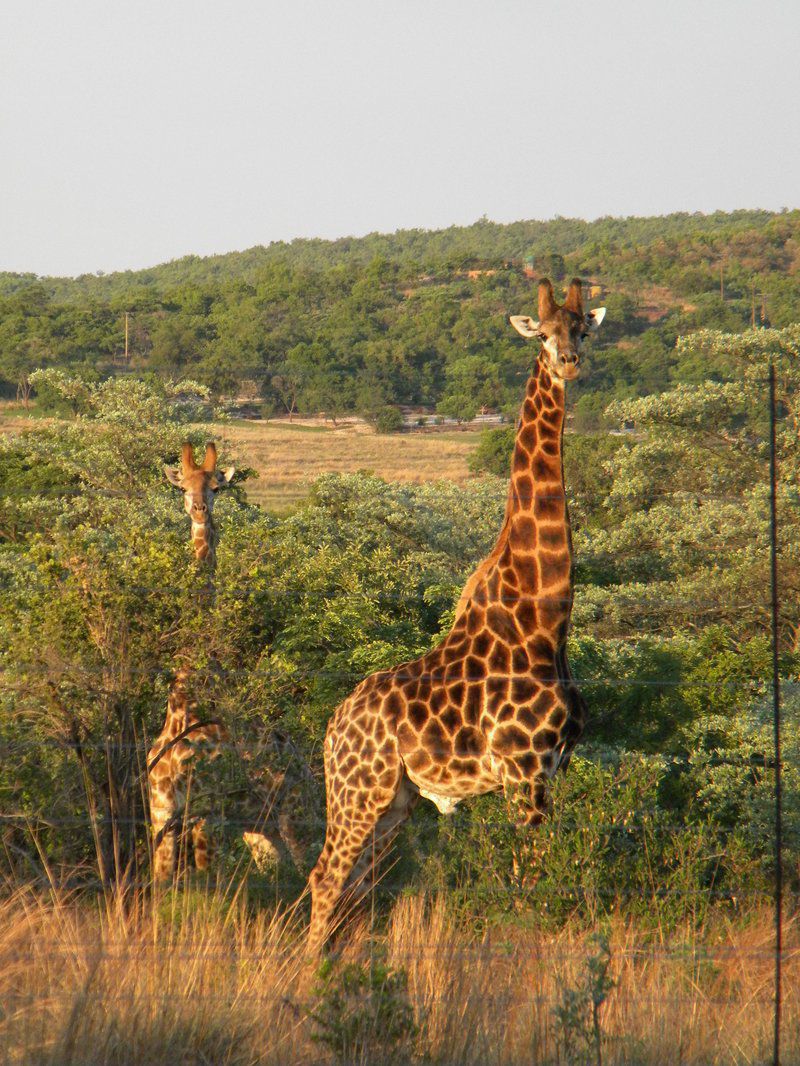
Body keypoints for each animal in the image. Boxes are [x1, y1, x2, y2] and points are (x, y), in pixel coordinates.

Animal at [307, 279, 605, 955]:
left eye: (583, 330)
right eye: (543, 334)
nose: (570, 363)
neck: (545, 619)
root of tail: (333, 729)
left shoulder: (555, 768)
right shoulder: (524, 771)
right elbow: (529, 880)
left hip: (394, 801)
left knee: (354, 885)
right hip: (360, 791)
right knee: (325, 877)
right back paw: (305, 973)